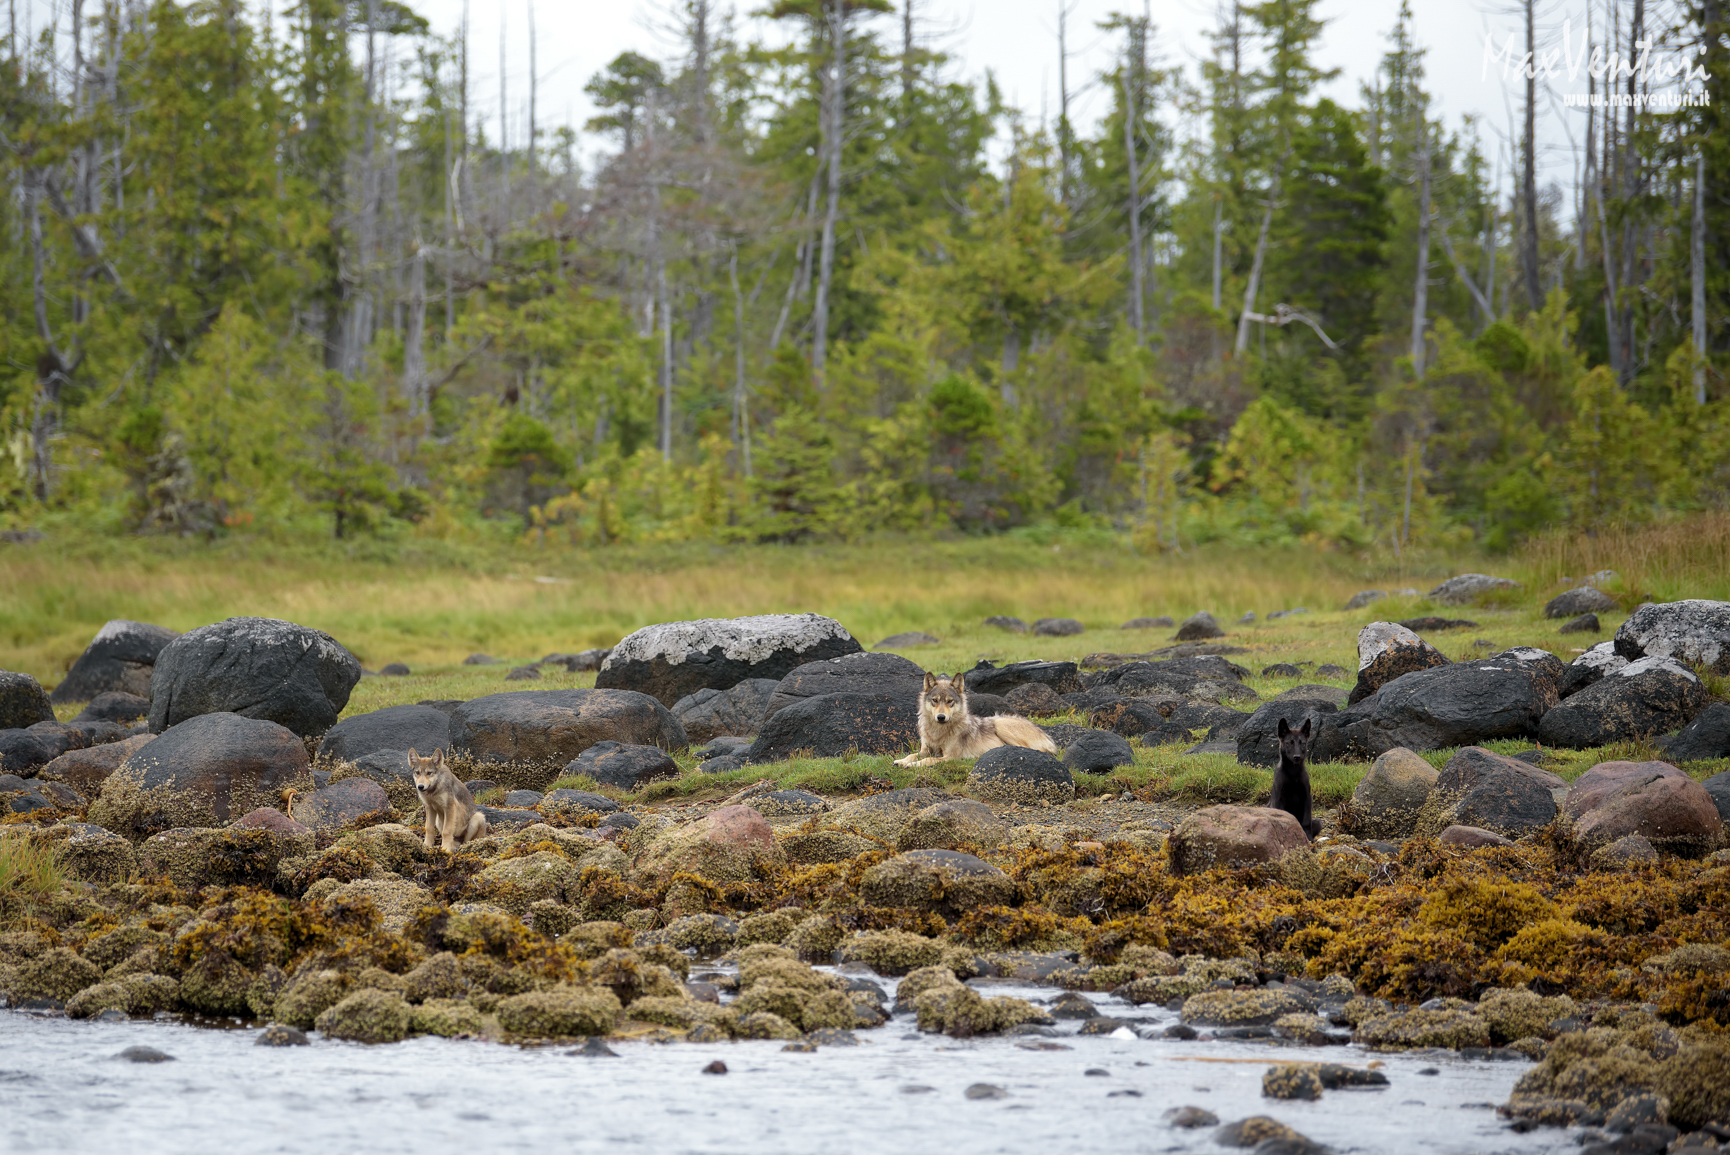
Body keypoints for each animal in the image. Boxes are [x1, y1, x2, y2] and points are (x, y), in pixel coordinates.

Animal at [893, 672, 1060, 768]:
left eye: (949, 701)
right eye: (935, 700)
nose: (941, 717)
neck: (938, 732)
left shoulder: (951, 757)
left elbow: (929, 760)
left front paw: (914, 765)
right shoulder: (926, 750)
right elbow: (912, 755)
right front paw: (901, 761)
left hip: (1000, 723)